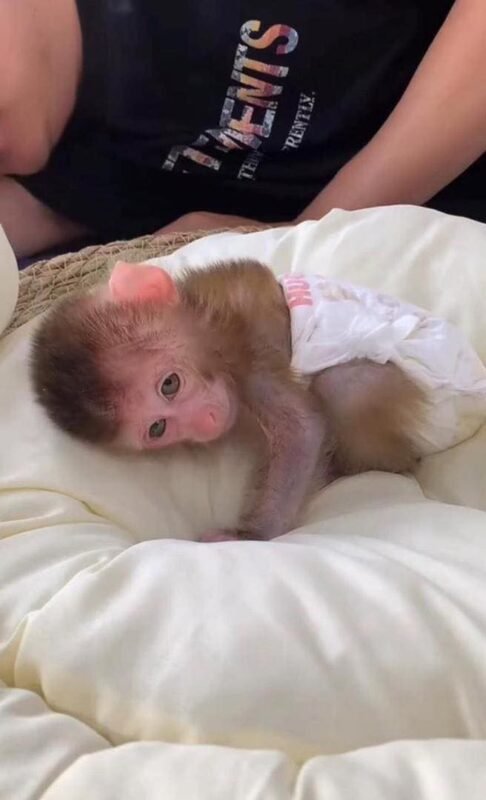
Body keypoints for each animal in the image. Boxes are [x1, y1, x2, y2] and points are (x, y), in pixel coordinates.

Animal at [30, 259, 426, 542]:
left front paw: (250, 535)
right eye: (158, 428)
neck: (202, 316)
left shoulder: (245, 349)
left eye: (170, 384)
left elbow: (303, 429)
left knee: (347, 385)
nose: (205, 422)